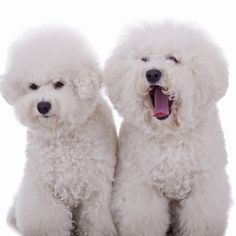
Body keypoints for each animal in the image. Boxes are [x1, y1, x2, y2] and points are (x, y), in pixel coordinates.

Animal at [0, 25, 117, 236]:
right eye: (33, 86)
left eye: (59, 84)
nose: (43, 106)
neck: (63, 135)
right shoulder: (43, 191)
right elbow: (49, 221)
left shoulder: (97, 188)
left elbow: (95, 221)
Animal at [103, 20, 230, 236]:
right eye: (144, 59)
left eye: (173, 59)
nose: (153, 73)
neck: (169, 133)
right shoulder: (141, 189)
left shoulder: (203, 190)